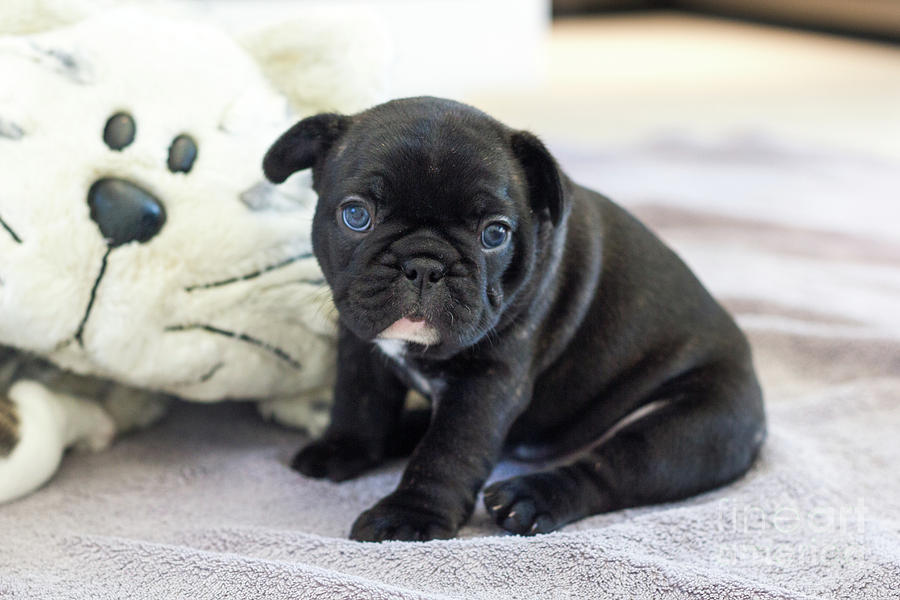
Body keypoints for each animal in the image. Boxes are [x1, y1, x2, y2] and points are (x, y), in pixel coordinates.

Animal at [262, 97, 768, 544]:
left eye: (495, 234)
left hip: (695, 427)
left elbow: (448, 451)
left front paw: (409, 516)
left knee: (613, 467)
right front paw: (342, 449)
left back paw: (530, 498)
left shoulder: (486, 382)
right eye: (355, 214)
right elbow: (357, 402)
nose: (424, 265)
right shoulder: (361, 342)